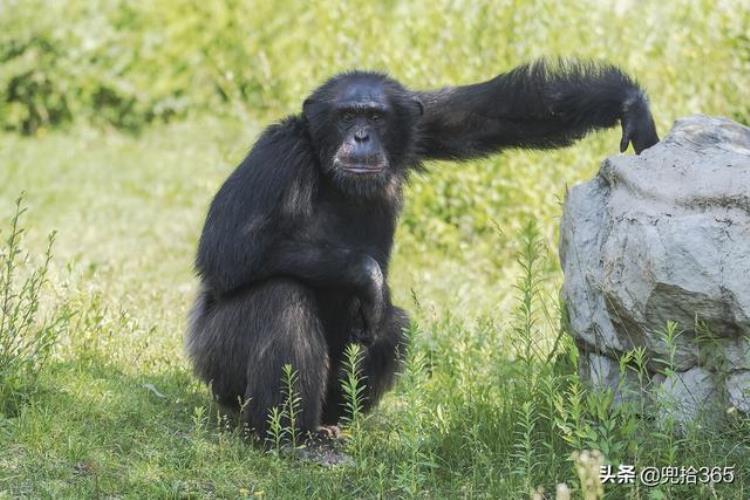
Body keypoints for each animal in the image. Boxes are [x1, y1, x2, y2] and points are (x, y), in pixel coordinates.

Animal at [187, 58, 656, 440]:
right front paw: (367, 276)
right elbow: (229, 245)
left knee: (392, 325)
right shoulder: (277, 154)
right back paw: (287, 437)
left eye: (375, 117)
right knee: (281, 299)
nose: (361, 136)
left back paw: (330, 425)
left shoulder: (425, 123)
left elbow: (497, 113)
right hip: (214, 364)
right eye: (346, 116)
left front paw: (630, 105)